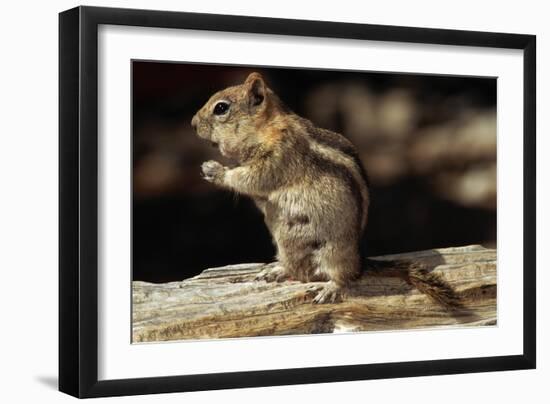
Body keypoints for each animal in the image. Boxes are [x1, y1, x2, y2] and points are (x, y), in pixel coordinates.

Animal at [193, 72, 462, 306]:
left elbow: (250, 179)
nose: (193, 124)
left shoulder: (277, 156)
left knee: (343, 277)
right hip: (286, 245)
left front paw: (214, 169)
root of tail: (359, 262)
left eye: (221, 108)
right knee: (294, 269)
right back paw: (276, 271)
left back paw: (329, 288)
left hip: (333, 252)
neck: (266, 128)